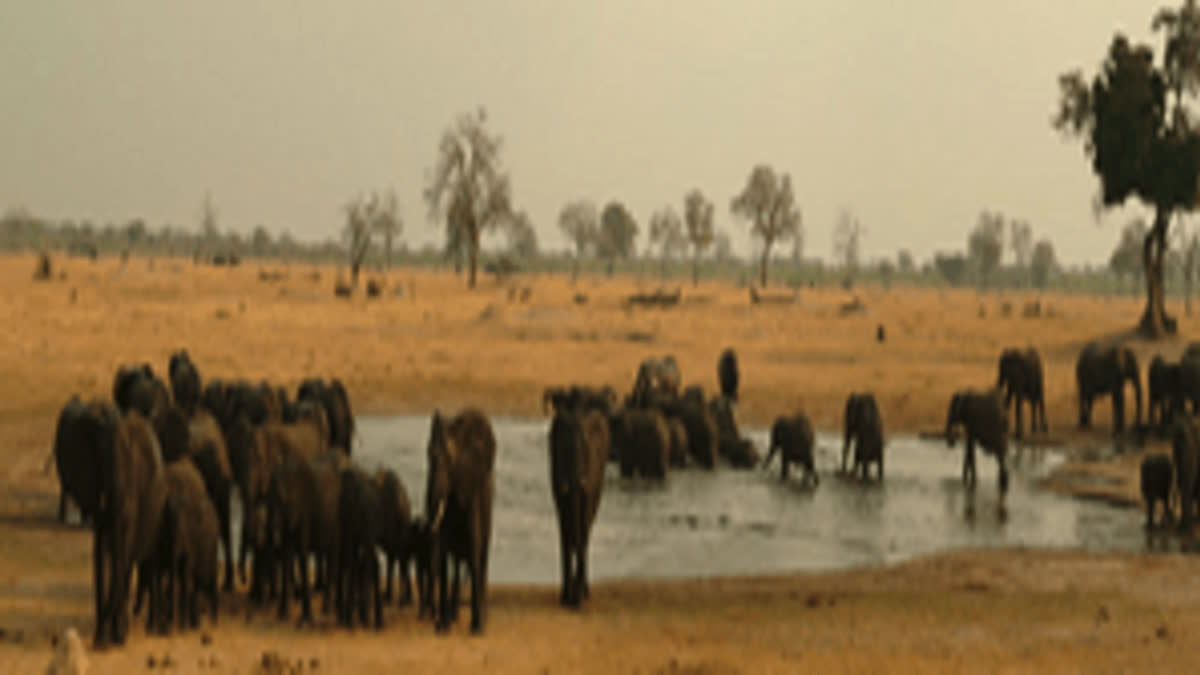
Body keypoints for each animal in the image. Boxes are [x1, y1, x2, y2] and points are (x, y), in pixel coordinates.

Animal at [92, 403, 168, 648]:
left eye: (131, 467)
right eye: (102, 463)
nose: (98, 639)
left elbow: (122, 552)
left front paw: (116, 637)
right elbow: (102, 551)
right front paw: (102, 640)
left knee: (142, 560)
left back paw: (149, 626)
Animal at [427, 408, 496, 634]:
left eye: (450, 461)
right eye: (429, 457)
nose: (432, 618)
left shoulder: (473, 490)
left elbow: (475, 547)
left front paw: (477, 628)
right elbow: (442, 552)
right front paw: (442, 628)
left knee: (481, 557)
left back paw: (483, 618)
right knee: (456, 562)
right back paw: (453, 615)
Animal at [549, 408, 609, 607]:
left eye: (587, 450)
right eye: (563, 451)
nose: (575, 602)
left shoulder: (592, 476)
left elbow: (583, 525)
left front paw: (578, 597)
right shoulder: (555, 474)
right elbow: (564, 525)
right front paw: (566, 598)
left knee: (587, 527)